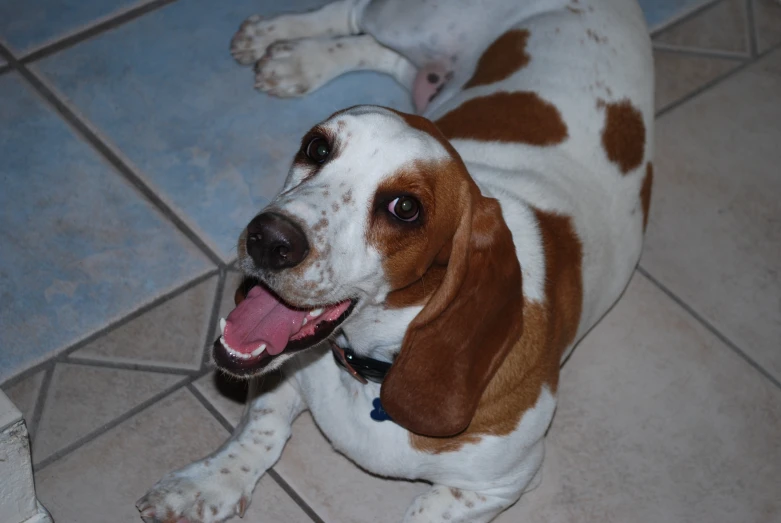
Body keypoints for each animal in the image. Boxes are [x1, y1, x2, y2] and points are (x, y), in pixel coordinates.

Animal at [136, 0, 652, 520]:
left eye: (405, 208)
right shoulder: (279, 378)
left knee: (383, 49)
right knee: (356, 18)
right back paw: (285, 47)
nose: (267, 239)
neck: (373, 366)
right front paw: (203, 486)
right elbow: (258, 433)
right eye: (317, 147)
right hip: (414, 19)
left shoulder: (496, 486)